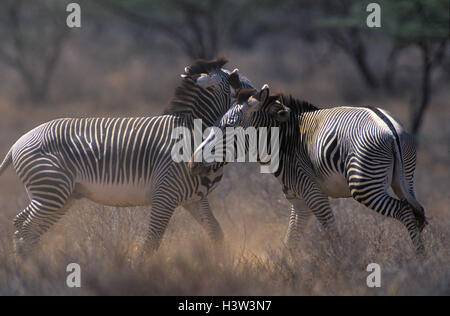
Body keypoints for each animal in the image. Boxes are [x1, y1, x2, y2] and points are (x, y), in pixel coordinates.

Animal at [0, 56, 253, 254]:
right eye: (240, 86)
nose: (262, 97)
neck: (193, 133)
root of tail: (17, 143)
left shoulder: (194, 198)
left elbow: (216, 233)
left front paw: (219, 265)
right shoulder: (165, 195)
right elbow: (152, 242)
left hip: (60, 195)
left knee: (24, 226)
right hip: (51, 192)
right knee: (26, 228)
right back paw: (30, 272)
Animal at [191, 85, 428, 256]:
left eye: (228, 126)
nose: (192, 162)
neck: (283, 139)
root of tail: (390, 128)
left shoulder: (312, 192)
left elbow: (330, 229)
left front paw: (341, 262)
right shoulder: (298, 199)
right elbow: (291, 239)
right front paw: (283, 271)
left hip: (365, 185)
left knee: (405, 211)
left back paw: (417, 259)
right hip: (405, 180)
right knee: (416, 212)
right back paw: (422, 261)